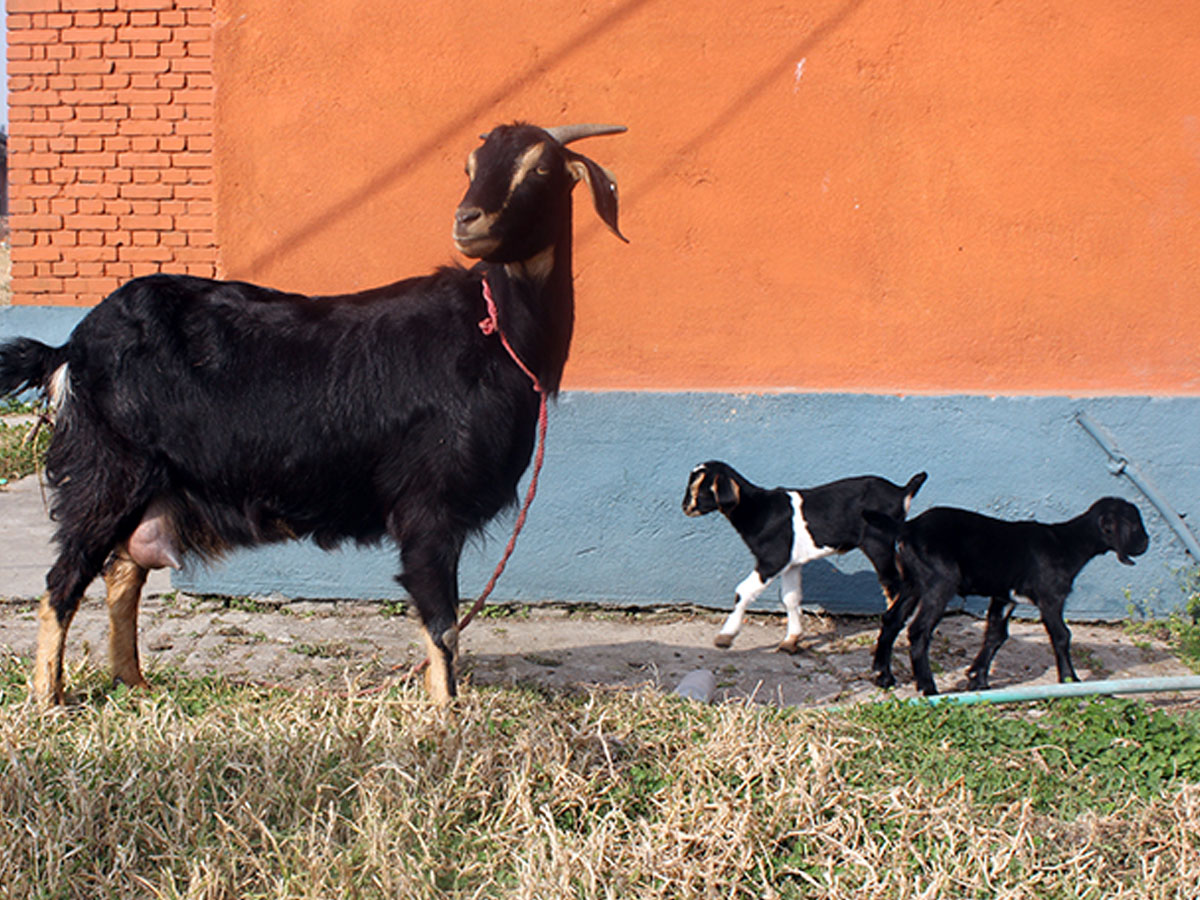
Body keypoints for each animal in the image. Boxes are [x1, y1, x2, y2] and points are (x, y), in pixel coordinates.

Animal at [0, 121, 633, 710]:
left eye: (542, 168)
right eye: (470, 166)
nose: (467, 221)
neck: (495, 333)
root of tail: (71, 348)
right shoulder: (429, 506)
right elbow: (442, 624)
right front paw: (447, 715)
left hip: (151, 488)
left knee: (122, 574)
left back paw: (134, 683)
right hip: (108, 473)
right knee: (62, 582)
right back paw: (49, 698)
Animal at [686, 465, 926, 657]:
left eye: (700, 486)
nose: (685, 508)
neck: (759, 509)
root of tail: (902, 491)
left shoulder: (772, 559)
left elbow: (742, 591)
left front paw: (725, 637)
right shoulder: (791, 564)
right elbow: (790, 598)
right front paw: (791, 640)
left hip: (879, 545)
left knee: (894, 588)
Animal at [873, 501, 1152, 696]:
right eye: (1135, 525)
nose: (1147, 543)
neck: (1067, 542)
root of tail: (909, 527)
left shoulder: (1004, 598)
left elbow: (996, 635)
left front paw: (977, 678)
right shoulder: (1051, 597)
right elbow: (1062, 635)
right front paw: (1070, 680)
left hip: (912, 583)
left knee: (892, 620)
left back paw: (883, 676)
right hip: (939, 582)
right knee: (919, 630)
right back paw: (928, 687)